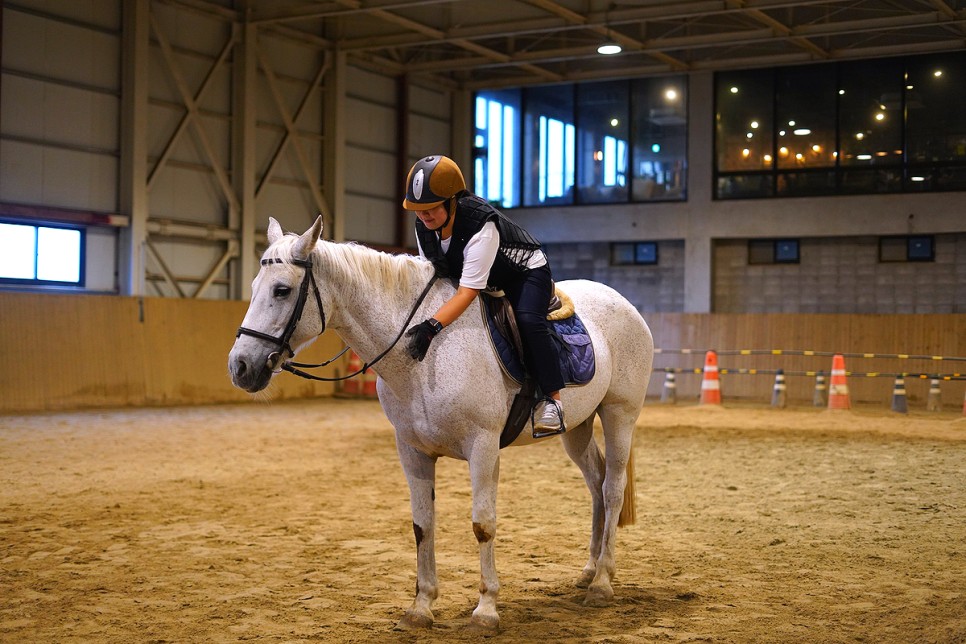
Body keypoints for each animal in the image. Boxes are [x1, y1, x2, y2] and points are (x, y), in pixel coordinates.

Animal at [228, 219, 656, 632]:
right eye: (253, 287)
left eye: (282, 290)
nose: (240, 366)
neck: (424, 353)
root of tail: (624, 303)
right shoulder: (412, 451)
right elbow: (422, 525)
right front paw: (420, 607)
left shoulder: (483, 449)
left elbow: (483, 525)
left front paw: (486, 610)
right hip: (578, 427)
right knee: (597, 483)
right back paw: (589, 571)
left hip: (619, 414)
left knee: (613, 489)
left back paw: (602, 583)